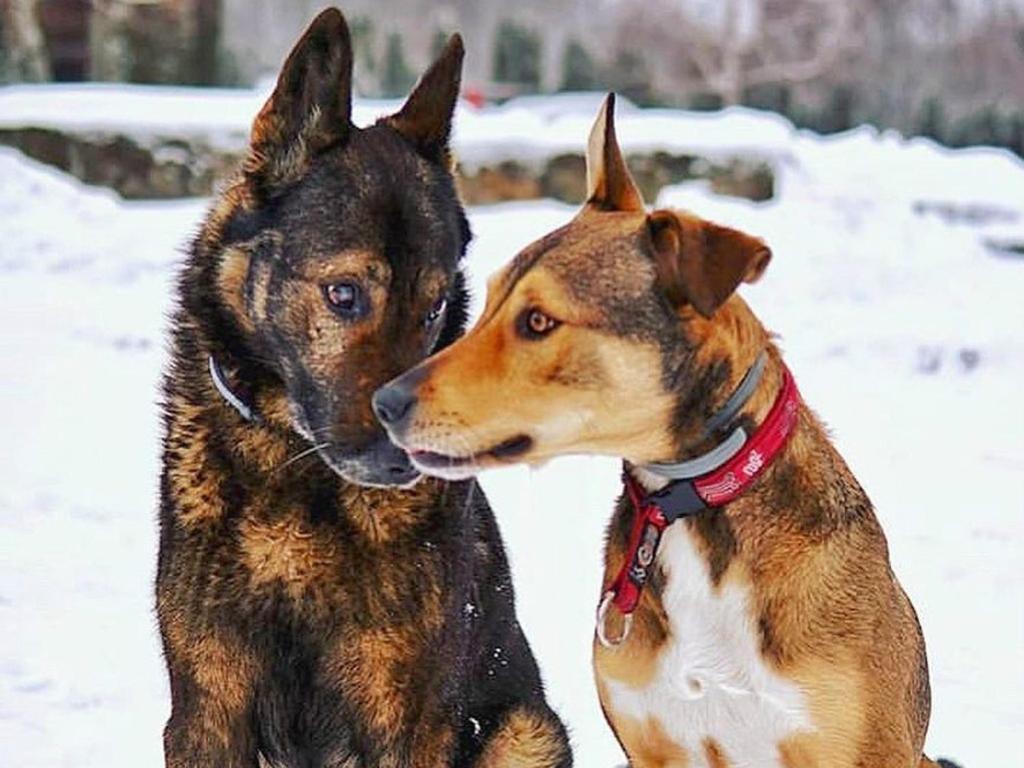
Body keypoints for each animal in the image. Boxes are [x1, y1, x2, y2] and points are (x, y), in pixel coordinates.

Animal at [160, 9, 577, 765]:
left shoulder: (410, 719)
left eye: (434, 308)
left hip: (527, 730)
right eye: (344, 294)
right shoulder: (206, 712)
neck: (294, 480)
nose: (407, 459)